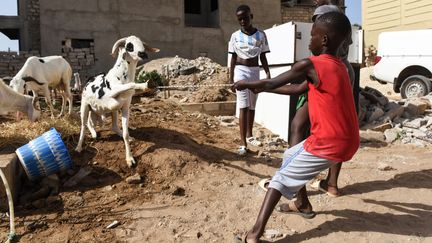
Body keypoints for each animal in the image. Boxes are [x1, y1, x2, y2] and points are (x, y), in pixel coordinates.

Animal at [76, 35, 160, 167]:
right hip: (84, 106)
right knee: (84, 126)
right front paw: (146, 85)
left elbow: (125, 133)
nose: (143, 54)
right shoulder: (110, 97)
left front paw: (129, 159)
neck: (121, 76)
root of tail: (89, 79)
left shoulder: (125, 107)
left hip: (105, 112)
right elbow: (129, 86)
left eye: (142, 44)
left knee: (111, 126)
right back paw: (79, 147)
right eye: (129, 45)